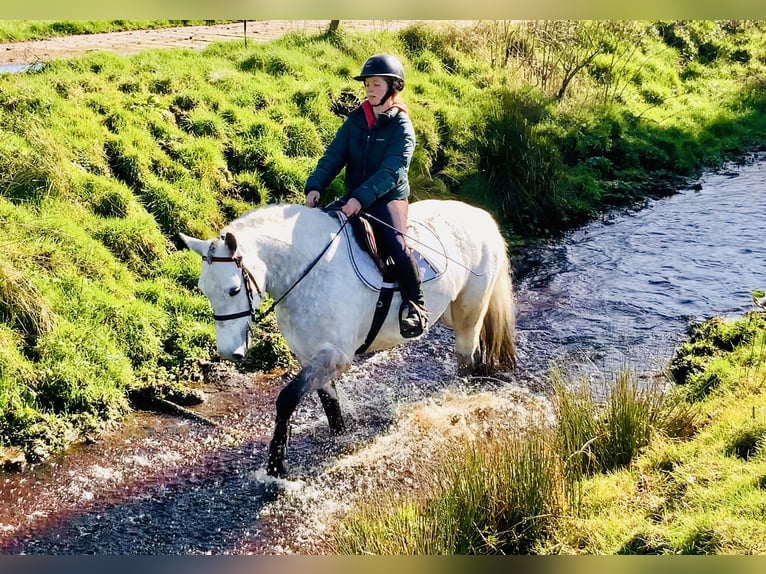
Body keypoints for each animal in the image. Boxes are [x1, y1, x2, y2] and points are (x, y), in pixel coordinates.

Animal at [179, 199, 516, 477]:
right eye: (203, 289)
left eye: (233, 289)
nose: (228, 352)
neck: (306, 273)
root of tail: (481, 216)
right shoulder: (312, 355)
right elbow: (329, 404)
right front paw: (340, 439)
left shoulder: (335, 356)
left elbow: (286, 399)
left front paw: (275, 469)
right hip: (449, 313)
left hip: (469, 313)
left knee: (466, 359)